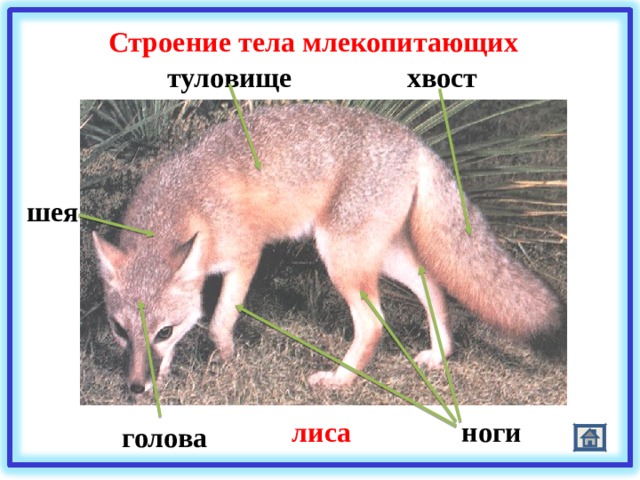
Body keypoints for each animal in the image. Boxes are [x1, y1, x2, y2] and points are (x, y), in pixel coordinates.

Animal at [91, 102, 565, 396]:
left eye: (163, 331)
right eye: (119, 330)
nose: (136, 389)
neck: (187, 204)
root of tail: (415, 142)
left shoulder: (246, 256)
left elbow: (219, 320)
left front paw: (224, 356)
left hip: (340, 257)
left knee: (373, 324)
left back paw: (341, 380)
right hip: (377, 256)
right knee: (431, 283)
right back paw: (440, 354)